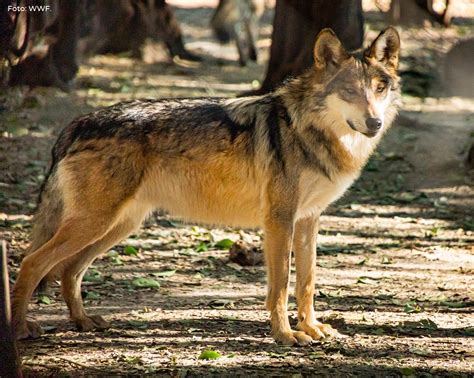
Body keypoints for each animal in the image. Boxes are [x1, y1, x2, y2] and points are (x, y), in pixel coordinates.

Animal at [12, 28, 400, 344]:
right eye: (349, 91)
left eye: (379, 89)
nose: (374, 123)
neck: (306, 128)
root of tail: (76, 124)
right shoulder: (279, 221)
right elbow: (279, 287)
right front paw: (286, 335)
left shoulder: (307, 220)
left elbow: (306, 282)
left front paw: (312, 328)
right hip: (95, 223)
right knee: (32, 263)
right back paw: (20, 328)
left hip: (116, 226)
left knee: (69, 270)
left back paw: (82, 321)